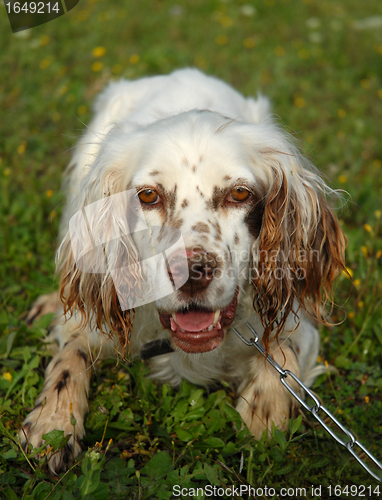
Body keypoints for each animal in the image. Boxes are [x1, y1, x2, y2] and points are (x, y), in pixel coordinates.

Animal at [20, 69, 346, 472]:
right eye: (148, 196)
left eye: (240, 194)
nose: (190, 272)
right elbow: (69, 356)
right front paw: (52, 422)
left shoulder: (298, 326)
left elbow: (280, 351)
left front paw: (264, 414)